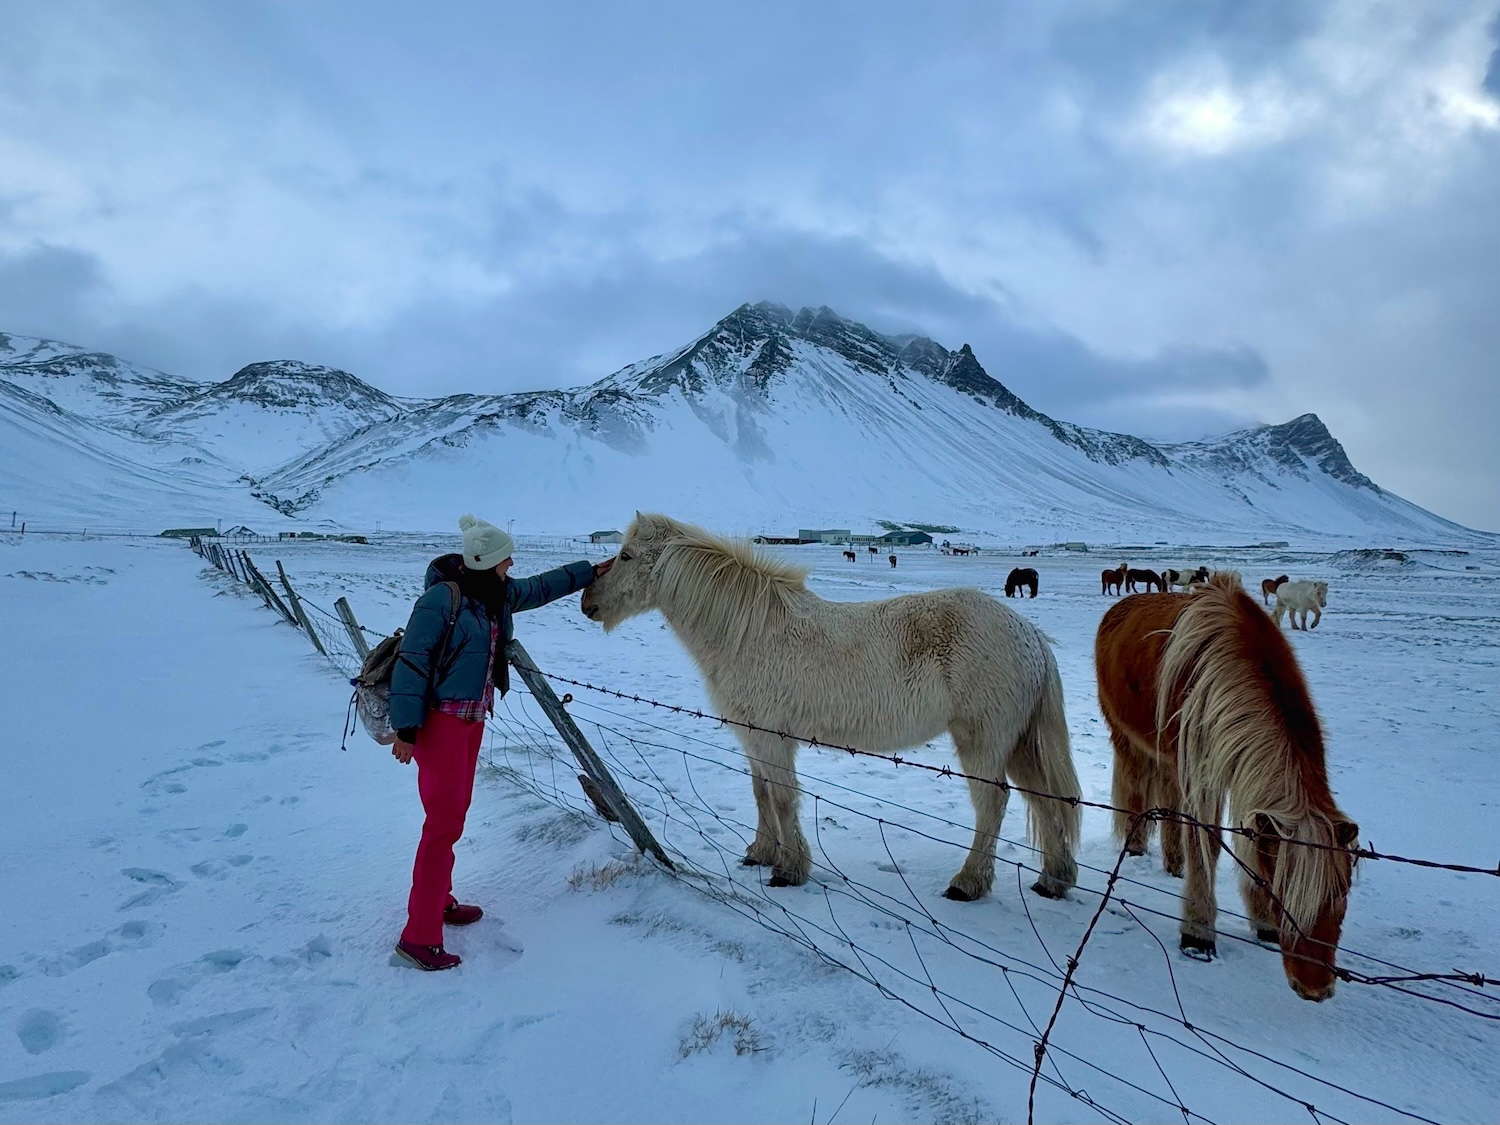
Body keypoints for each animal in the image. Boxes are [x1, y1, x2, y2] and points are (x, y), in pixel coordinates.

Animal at [579, 516, 1086, 906]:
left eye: (626, 556)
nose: (588, 602)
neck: (748, 632)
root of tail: (1030, 634)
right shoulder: (754, 737)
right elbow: (761, 793)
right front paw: (760, 853)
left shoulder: (772, 738)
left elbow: (783, 798)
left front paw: (788, 871)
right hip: (1018, 744)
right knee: (1043, 802)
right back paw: (1052, 881)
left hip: (983, 742)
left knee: (993, 804)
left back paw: (968, 884)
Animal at [1092, 576, 1362, 1002]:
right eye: (1285, 895)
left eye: (1343, 893)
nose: (1315, 988)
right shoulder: (1203, 777)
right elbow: (1207, 844)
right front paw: (1198, 934)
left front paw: (1263, 924)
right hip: (1127, 738)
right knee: (1135, 787)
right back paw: (1135, 848)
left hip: (1169, 757)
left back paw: (1173, 865)